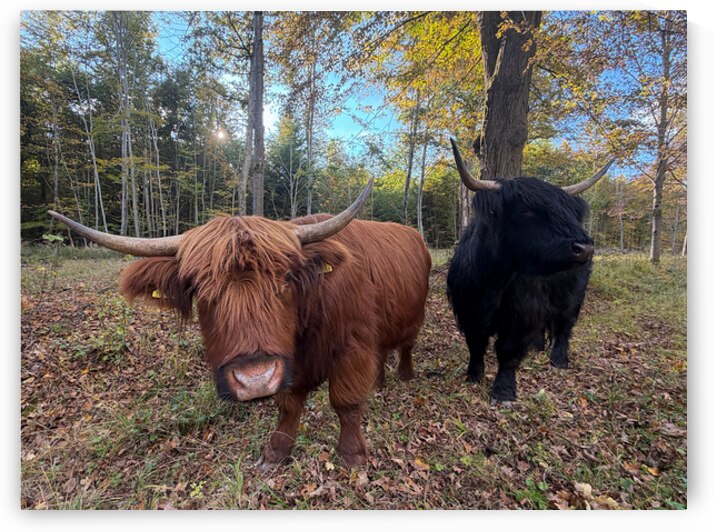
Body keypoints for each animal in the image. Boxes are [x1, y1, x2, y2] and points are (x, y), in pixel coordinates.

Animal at [48, 177, 431, 468]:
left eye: (285, 280)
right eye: (200, 289)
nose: (255, 379)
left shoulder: (353, 346)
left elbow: (346, 402)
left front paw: (352, 456)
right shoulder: (290, 362)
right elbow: (288, 404)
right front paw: (275, 453)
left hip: (414, 318)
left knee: (406, 346)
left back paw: (404, 375)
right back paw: (379, 384)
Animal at [446, 139, 614, 404]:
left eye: (567, 210)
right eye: (526, 209)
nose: (584, 247)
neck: (491, 282)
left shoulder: (521, 313)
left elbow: (508, 349)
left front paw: (503, 391)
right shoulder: (467, 309)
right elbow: (476, 342)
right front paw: (473, 374)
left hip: (573, 296)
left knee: (564, 325)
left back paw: (558, 359)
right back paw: (537, 348)